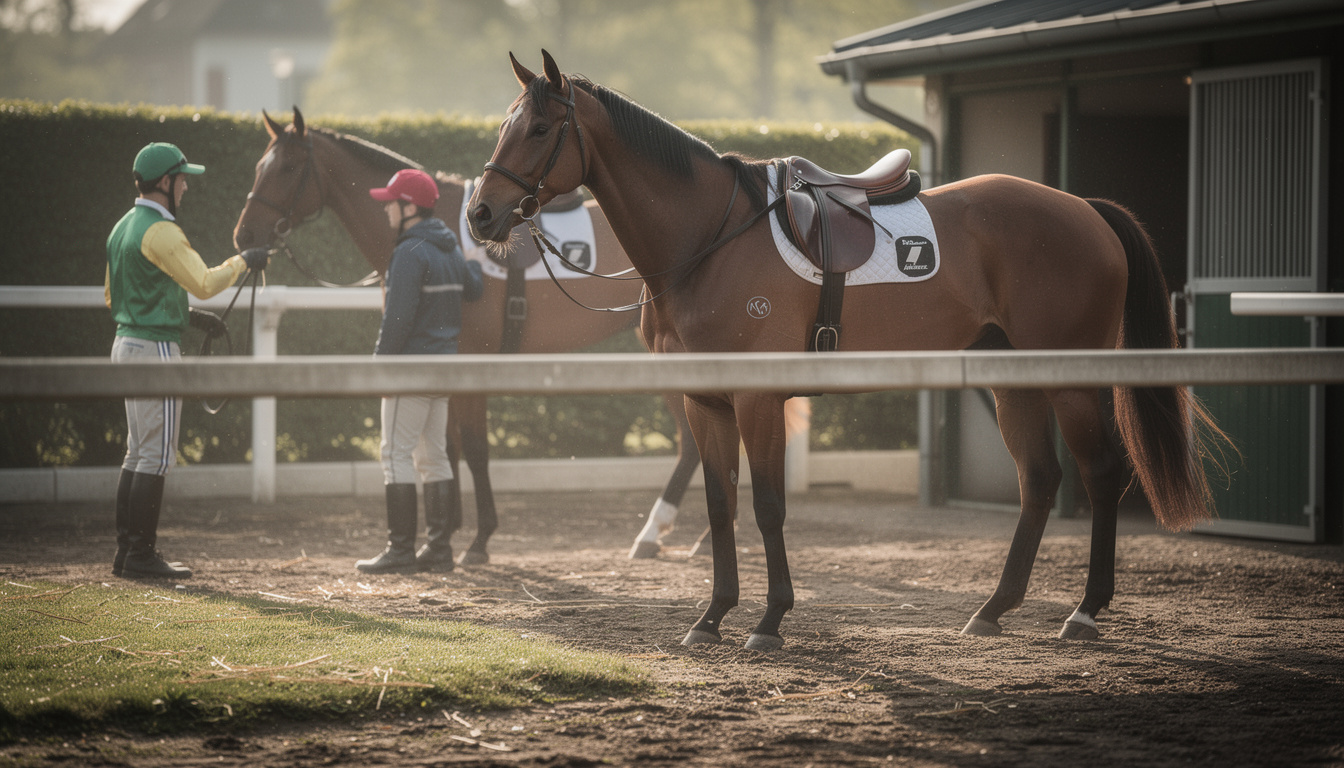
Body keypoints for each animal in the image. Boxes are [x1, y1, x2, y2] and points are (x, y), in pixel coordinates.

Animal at [232, 107, 704, 564]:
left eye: (288, 167)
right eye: (258, 167)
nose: (244, 235)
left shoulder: (472, 358)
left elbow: (474, 447)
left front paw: (478, 539)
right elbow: (448, 444)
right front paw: (443, 532)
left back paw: (657, 532)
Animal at [467, 51, 1227, 652]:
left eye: (540, 129)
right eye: (505, 125)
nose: (480, 214)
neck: (710, 239)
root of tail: (1085, 209)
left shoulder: (757, 400)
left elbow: (769, 506)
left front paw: (769, 622)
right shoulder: (705, 400)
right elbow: (720, 505)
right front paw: (711, 617)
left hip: (1071, 381)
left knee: (1100, 474)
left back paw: (1085, 612)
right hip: (1013, 381)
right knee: (1040, 479)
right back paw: (993, 609)